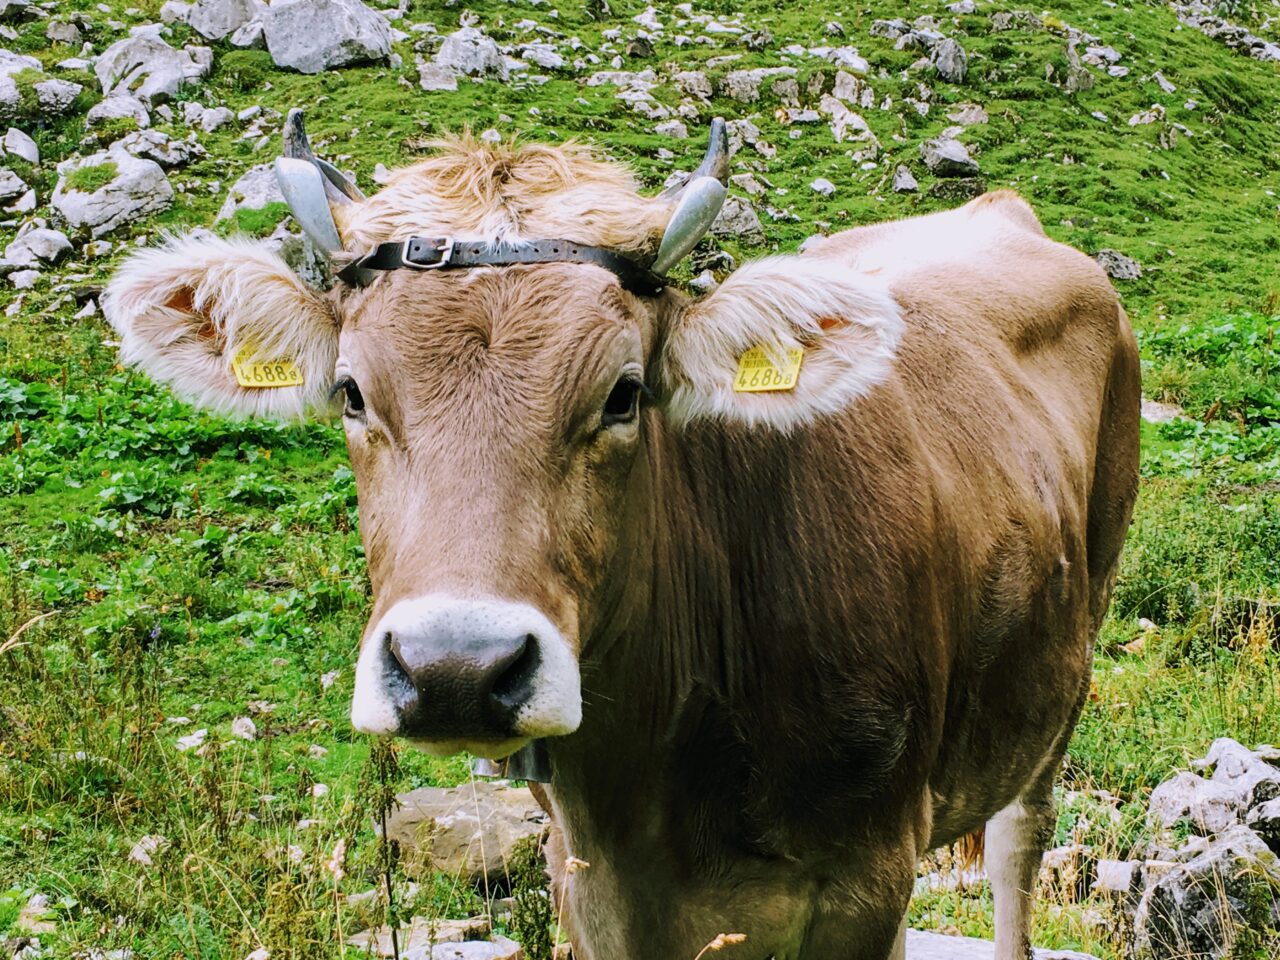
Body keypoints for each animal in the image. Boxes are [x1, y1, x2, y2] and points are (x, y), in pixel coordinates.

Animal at [104, 122, 1136, 960]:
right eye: (353, 392)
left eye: (624, 393)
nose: (455, 670)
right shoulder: (589, 880)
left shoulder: (869, 877)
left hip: (1069, 653)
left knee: (1016, 843)